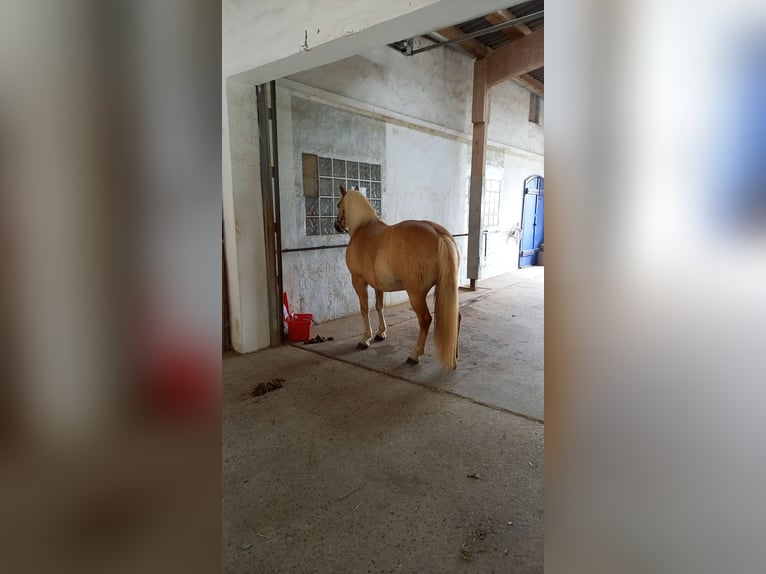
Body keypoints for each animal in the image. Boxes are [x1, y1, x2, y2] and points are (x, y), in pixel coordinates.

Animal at [338, 187, 462, 372]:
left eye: (339, 204)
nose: (336, 225)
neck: (363, 228)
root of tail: (439, 234)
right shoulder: (378, 285)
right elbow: (379, 306)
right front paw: (380, 333)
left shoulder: (358, 281)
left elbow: (364, 309)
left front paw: (365, 339)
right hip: (447, 289)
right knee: (456, 317)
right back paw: (454, 355)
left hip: (416, 294)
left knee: (425, 320)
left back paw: (414, 356)